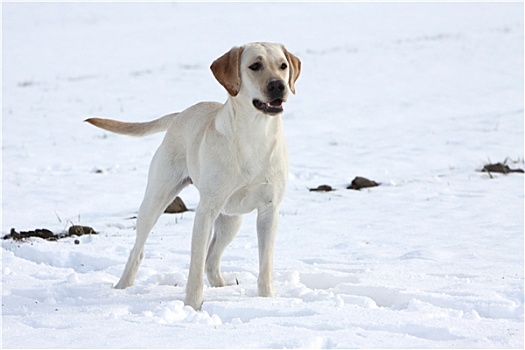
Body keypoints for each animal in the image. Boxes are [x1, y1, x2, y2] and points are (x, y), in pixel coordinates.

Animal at [85, 42, 298, 310]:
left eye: (283, 65)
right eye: (255, 66)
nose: (278, 86)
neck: (254, 134)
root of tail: (180, 114)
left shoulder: (269, 210)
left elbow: (265, 264)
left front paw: (267, 300)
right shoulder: (206, 211)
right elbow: (195, 264)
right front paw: (193, 306)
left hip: (231, 220)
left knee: (212, 259)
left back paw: (223, 287)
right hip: (155, 200)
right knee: (139, 250)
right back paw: (121, 288)